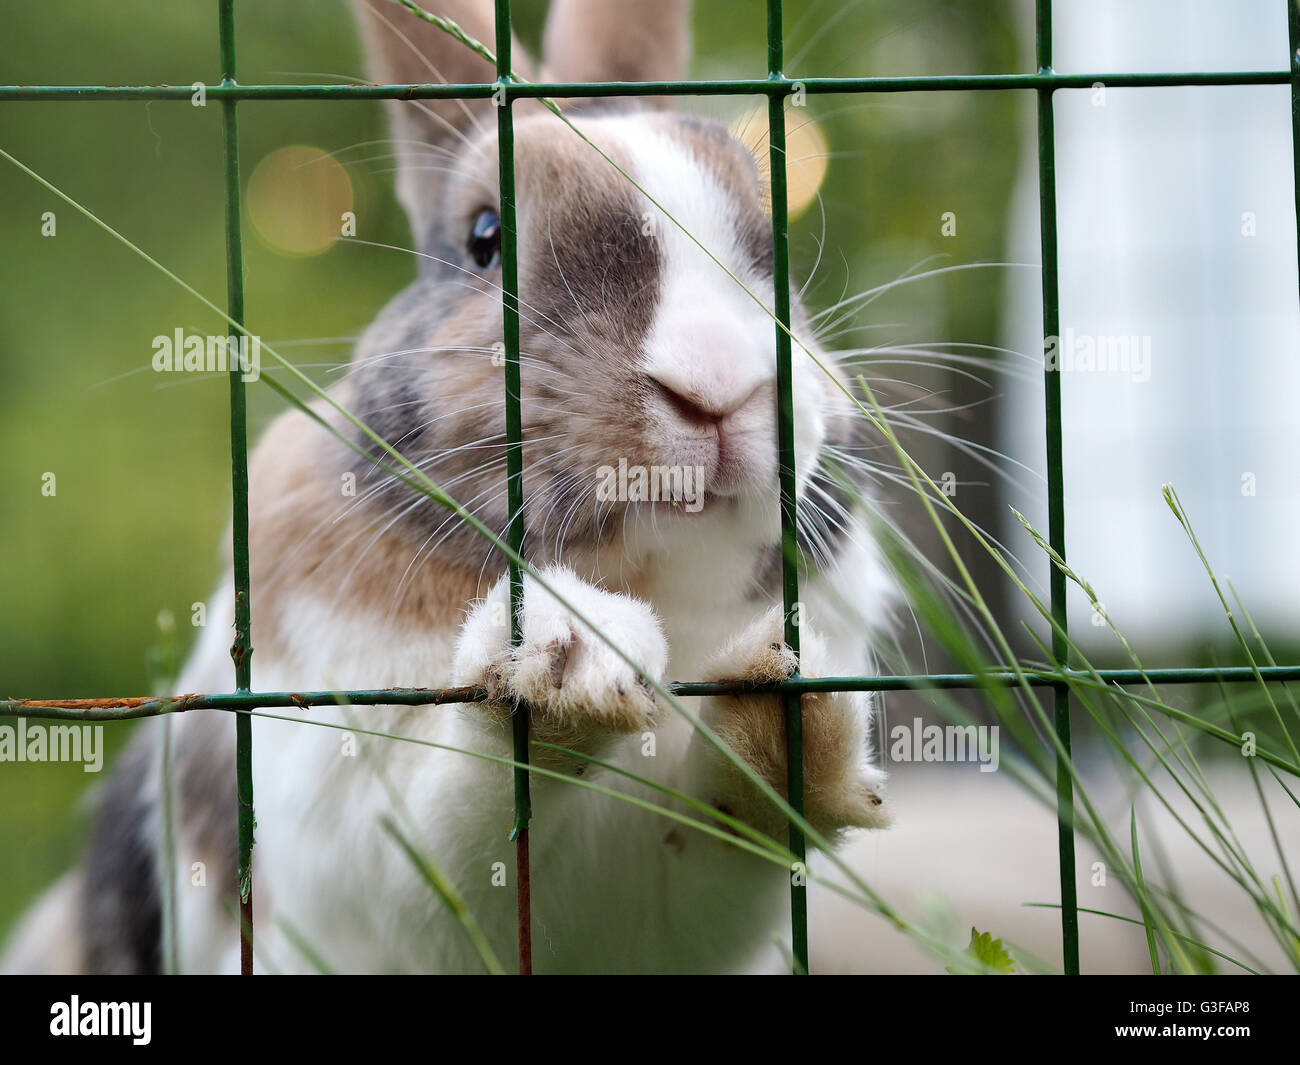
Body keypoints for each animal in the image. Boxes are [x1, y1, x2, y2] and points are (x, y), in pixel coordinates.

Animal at [3, 0, 894, 975]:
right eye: (485, 237)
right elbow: (453, 826)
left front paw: (797, 712)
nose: (722, 385)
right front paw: (572, 649)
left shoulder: (664, 911)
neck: (653, 576)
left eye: (776, 250)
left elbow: (705, 847)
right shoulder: (347, 843)